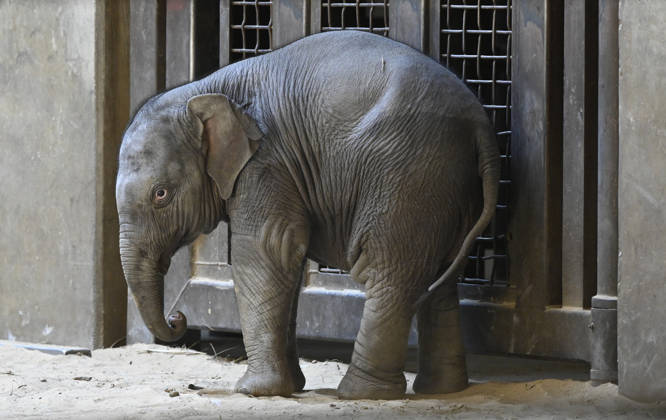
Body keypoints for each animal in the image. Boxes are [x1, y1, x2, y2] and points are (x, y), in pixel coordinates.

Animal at [116, 30, 500, 400]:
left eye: (161, 195)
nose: (177, 318)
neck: (205, 89)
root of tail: (480, 124)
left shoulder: (267, 165)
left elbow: (266, 252)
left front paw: (255, 391)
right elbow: (288, 261)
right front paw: (290, 387)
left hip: (405, 177)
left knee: (385, 273)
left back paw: (360, 394)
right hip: (445, 187)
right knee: (441, 281)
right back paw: (442, 389)